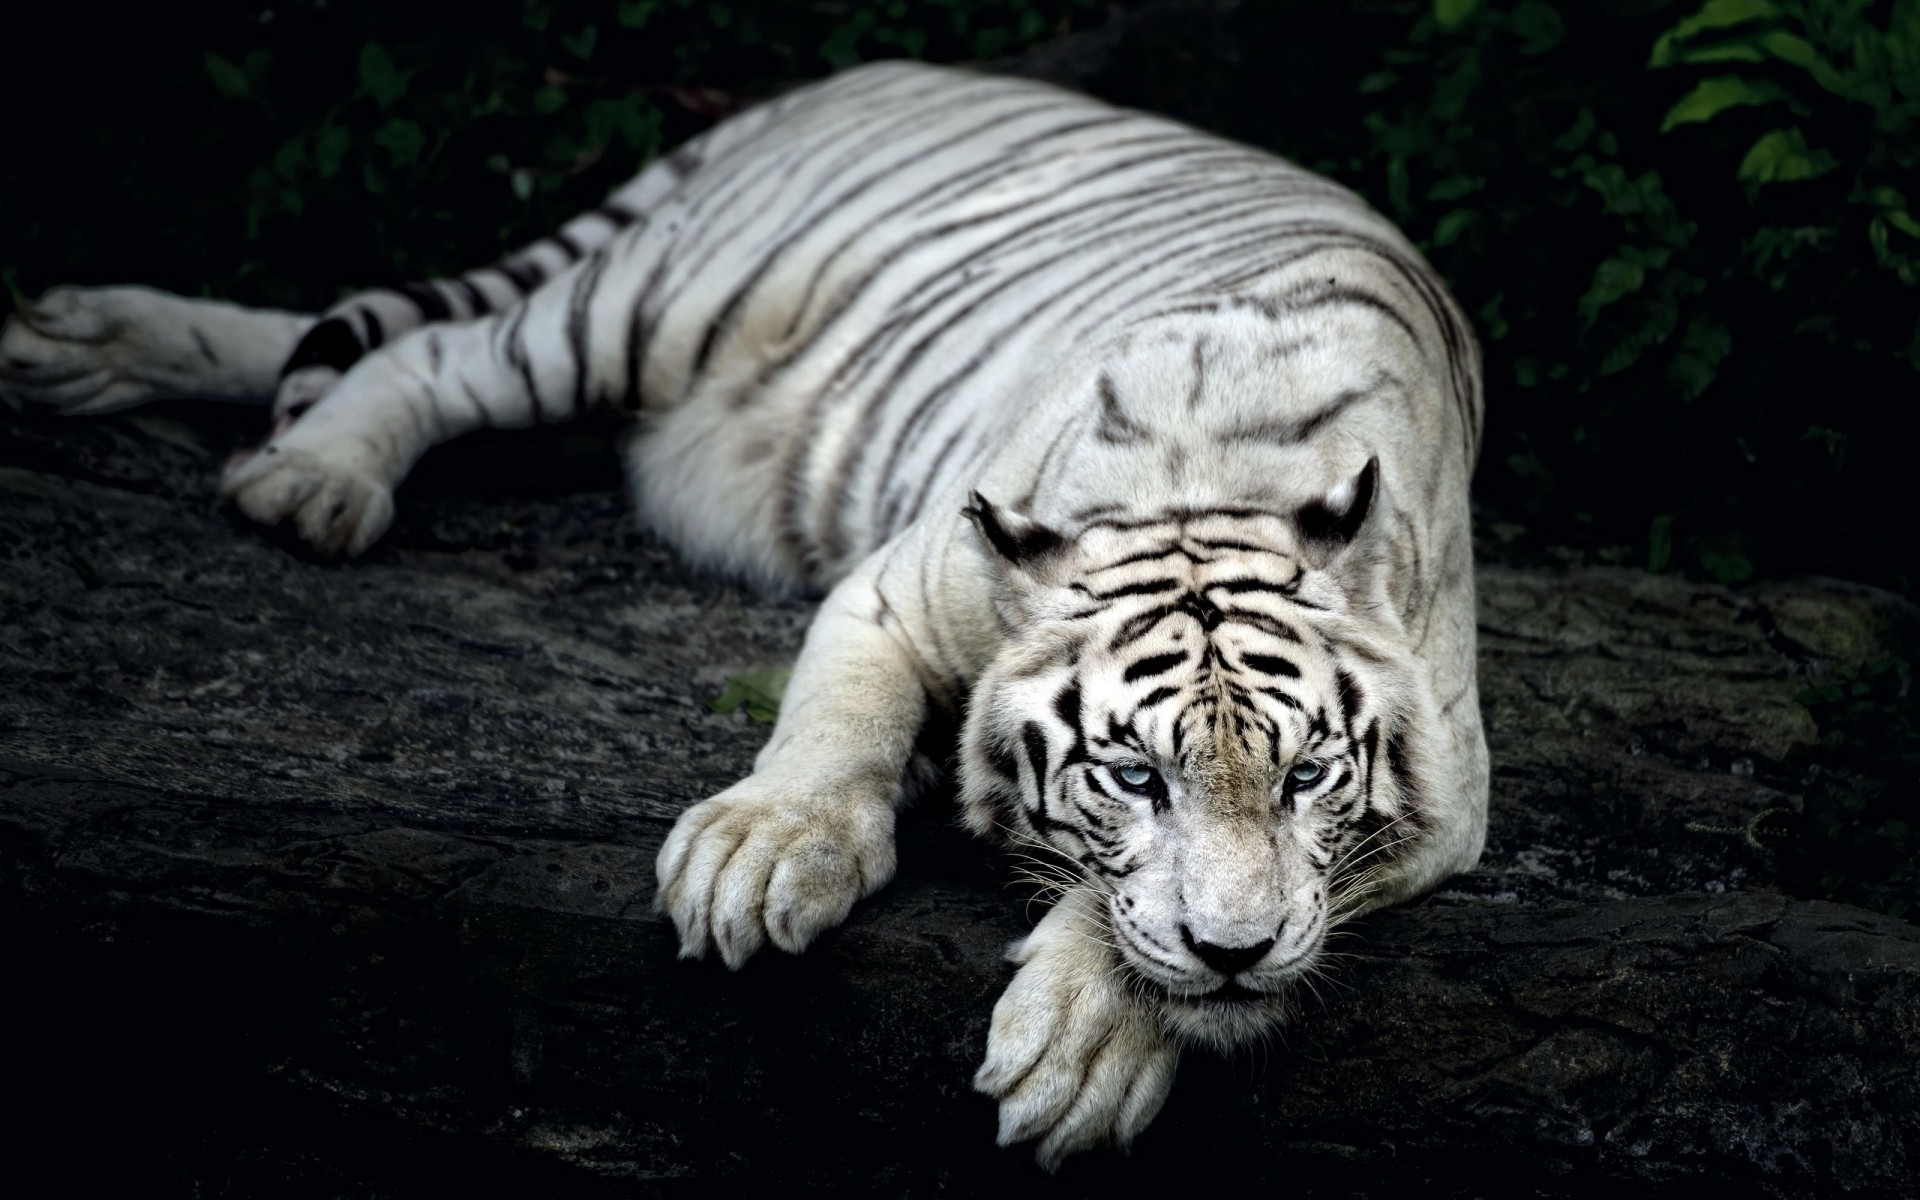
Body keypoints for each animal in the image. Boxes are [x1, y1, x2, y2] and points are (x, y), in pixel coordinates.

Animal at [0, 60, 1487, 1168]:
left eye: (1305, 779)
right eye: (1134, 778)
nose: (1236, 956)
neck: (1214, 480)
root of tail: (862, 73)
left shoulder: (1450, 790)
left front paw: (1088, 1042)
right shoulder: (895, 585)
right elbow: (832, 732)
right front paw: (760, 858)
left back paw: (74, 350)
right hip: (649, 303)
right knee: (419, 352)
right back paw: (303, 474)